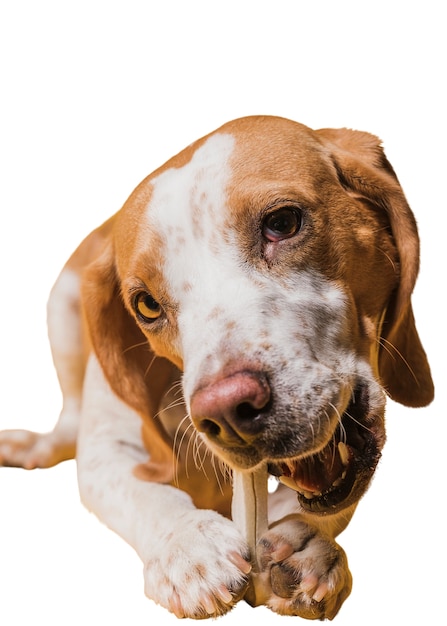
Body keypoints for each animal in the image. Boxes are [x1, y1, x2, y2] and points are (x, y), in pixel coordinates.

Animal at [0, 117, 434, 620]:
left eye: (282, 223)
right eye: (146, 305)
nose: (226, 412)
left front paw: (306, 541)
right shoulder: (108, 444)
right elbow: (140, 490)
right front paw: (187, 544)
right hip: (62, 309)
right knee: (68, 421)